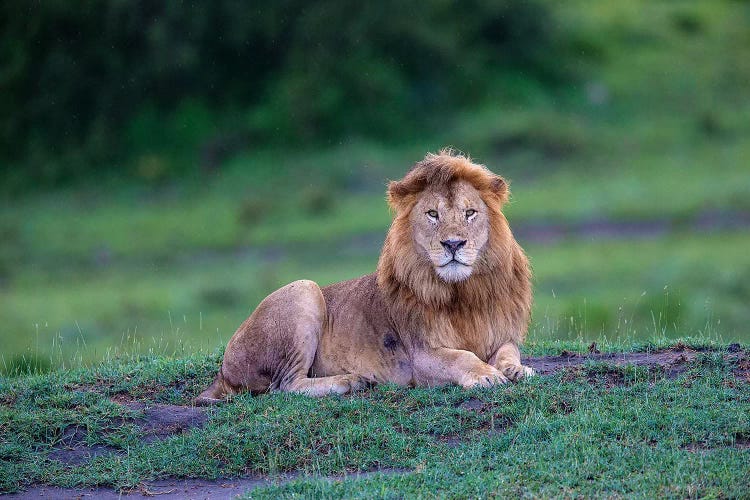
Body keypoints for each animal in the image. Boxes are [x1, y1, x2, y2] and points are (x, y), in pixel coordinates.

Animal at [197, 147, 532, 402]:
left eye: (469, 213)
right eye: (433, 214)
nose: (452, 244)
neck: (462, 293)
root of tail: (222, 372)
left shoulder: (499, 333)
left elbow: (508, 352)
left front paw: (517, 370)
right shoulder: (421, 356)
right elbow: (462, 357)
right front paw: (487, 375)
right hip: (303, 289)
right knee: (285, 386)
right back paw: (351, 381)